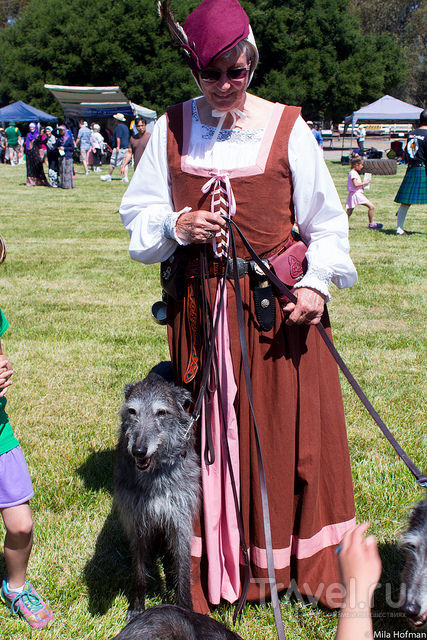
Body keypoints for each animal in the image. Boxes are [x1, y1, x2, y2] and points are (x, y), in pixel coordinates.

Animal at [113, 372, 201, 624]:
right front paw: (137, 607)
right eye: (132, 411)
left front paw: (185, 608)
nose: (138, 450)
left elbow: (183, 567)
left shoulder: (180, 519)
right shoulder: (137, 520)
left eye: (161, 413)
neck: (155, 475)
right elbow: (138, 570)